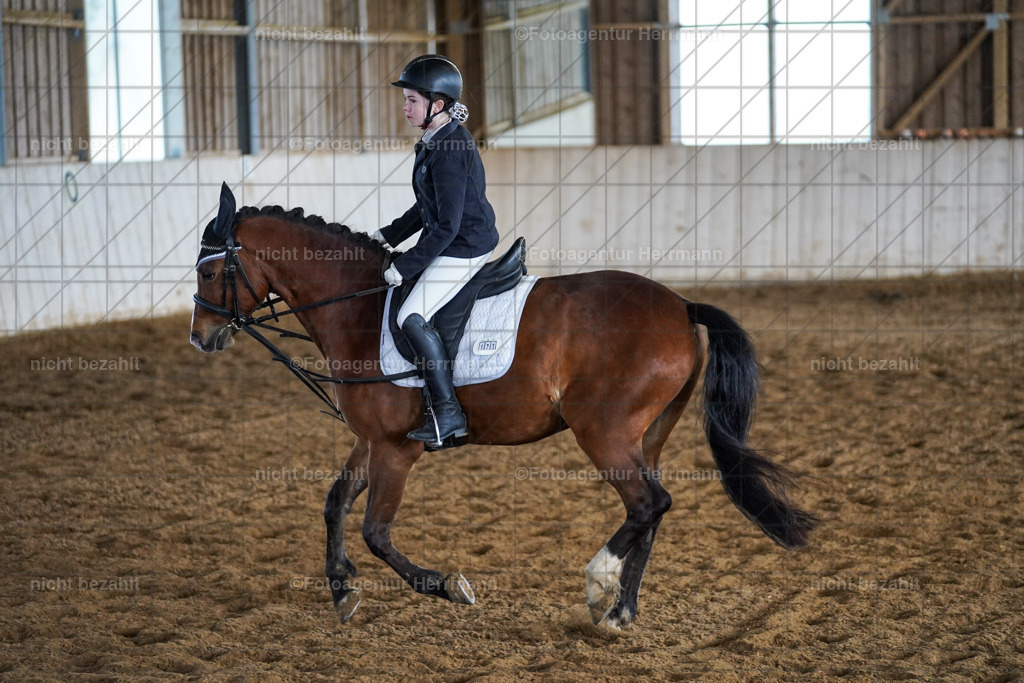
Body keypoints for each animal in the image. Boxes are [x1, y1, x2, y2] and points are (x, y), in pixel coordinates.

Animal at [189, 186, 817, 629]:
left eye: (210, 270)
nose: (200, 338)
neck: (358, 311)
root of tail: (682, 305)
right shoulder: (368, 441)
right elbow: (334, 504)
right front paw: (343, 591)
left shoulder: (395, 448)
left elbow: (376, 531)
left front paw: (446, 586)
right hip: (648, 434)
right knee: (654, 510)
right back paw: (620, 612)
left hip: (605, 432)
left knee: (648, 503)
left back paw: (599, 586)